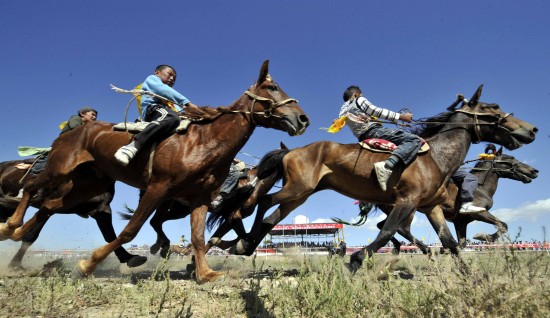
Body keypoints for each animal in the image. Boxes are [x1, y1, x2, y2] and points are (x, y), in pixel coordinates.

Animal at [0, 160, 147, 270]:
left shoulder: (101, 210)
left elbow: (110, 235)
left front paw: (128, 257)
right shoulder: (50, 203)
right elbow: (31, 235)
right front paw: (15, 264)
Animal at [344, 145, 540, 255]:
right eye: (510, 158)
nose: (534, 171)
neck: (480, 187)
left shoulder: (461, 221)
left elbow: (462, 242)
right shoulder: (479, 212)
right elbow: (502, 224)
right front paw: (483, 237)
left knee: (384, 226)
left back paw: (401, 247)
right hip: (408, 208)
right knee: (401, 228)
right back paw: (425, 249)